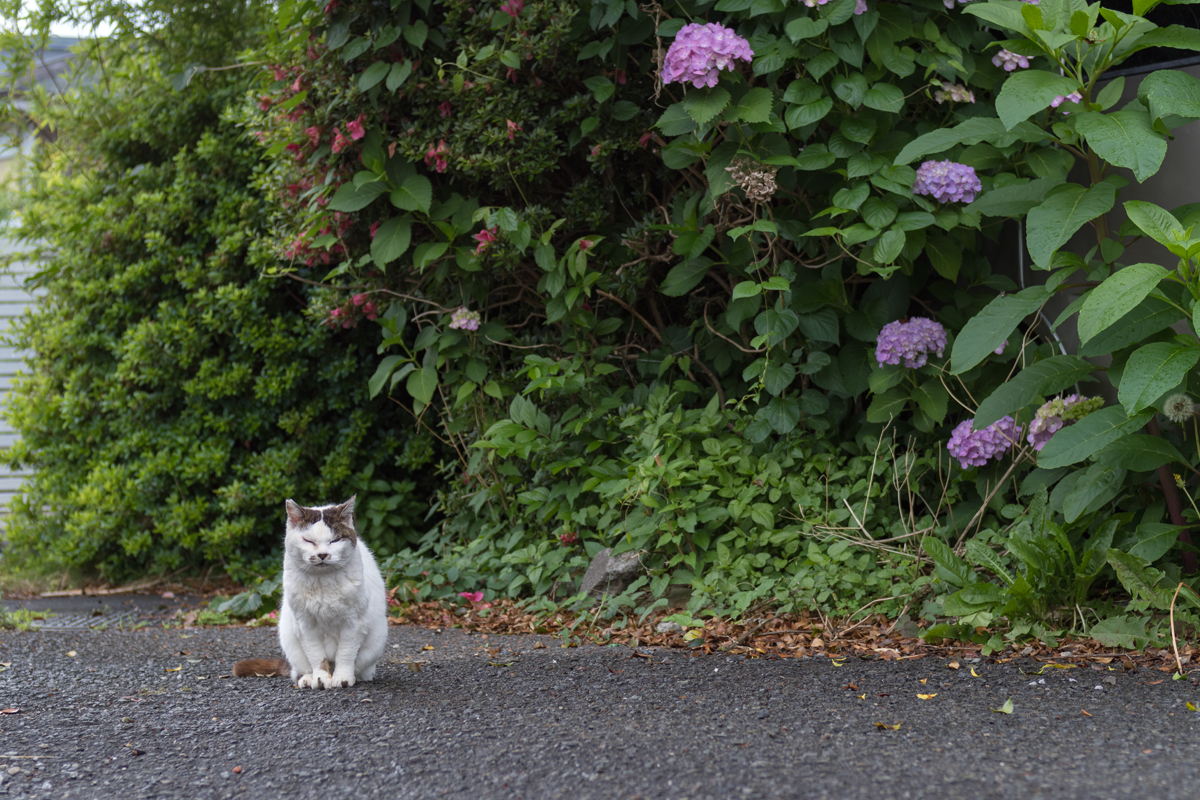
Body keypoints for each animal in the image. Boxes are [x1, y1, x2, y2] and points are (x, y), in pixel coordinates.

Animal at [231, 494, 386, 690]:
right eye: (308, 541)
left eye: (334, 541)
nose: (322, 555)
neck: (322, 583)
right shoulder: (304, 625)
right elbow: (317, 657)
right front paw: (320, 679)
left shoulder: (353, 624)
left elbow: (345, 654)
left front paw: (342, 677)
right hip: (290, 640)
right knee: (300, 669)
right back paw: (307, 678)